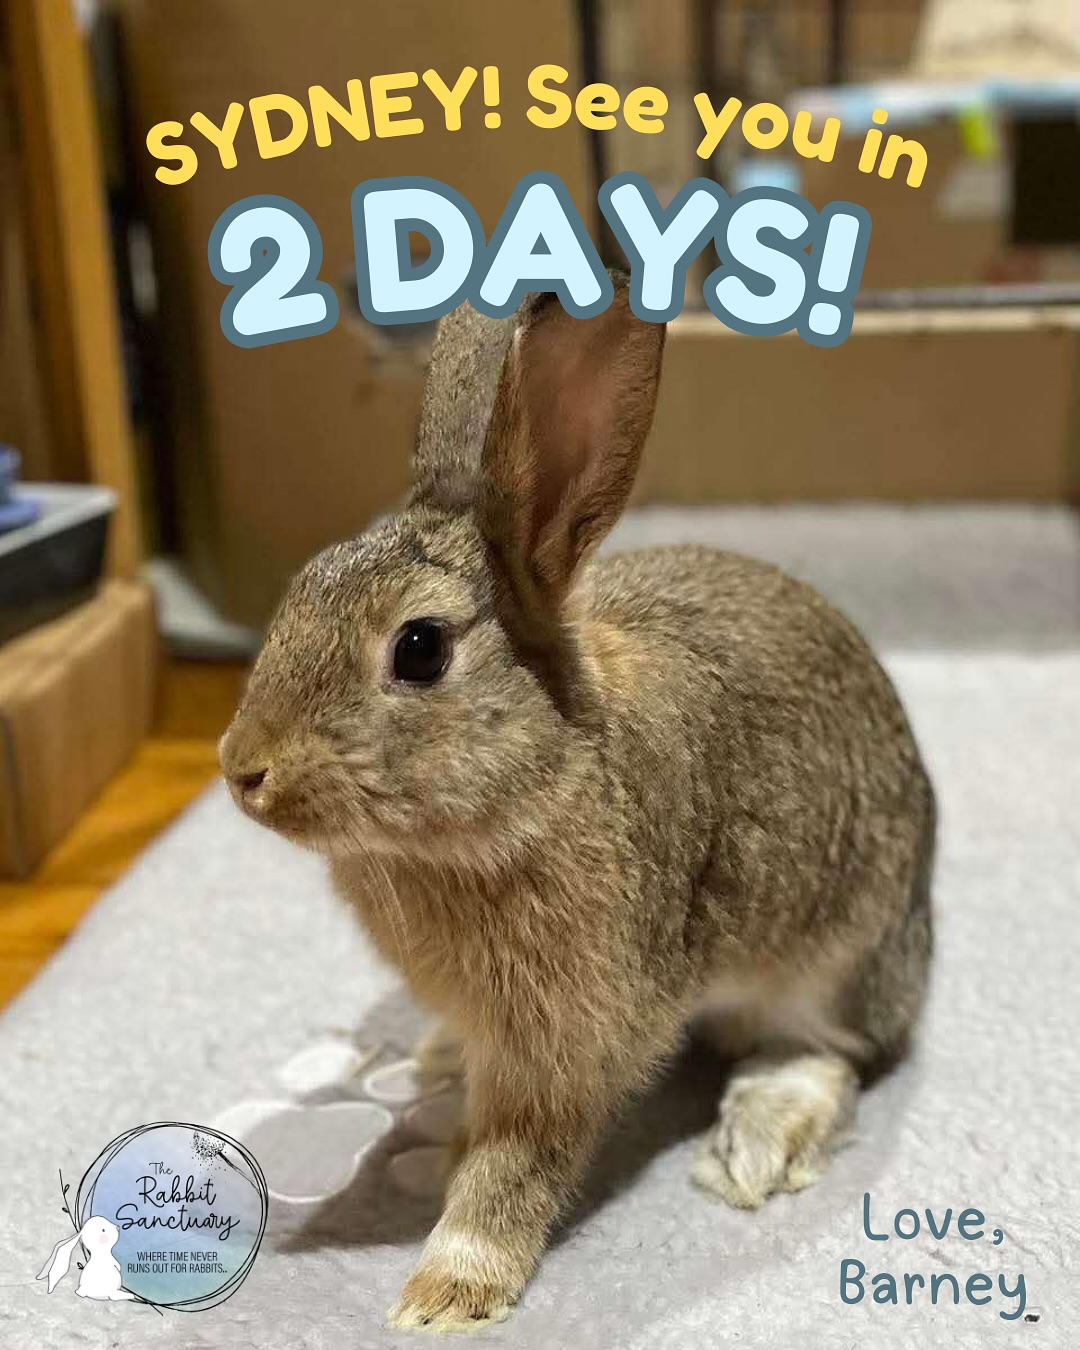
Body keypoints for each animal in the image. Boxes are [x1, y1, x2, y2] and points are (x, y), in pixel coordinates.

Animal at [219, 275, 935, 1331]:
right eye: (300, 589)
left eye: (420, 649)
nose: (242, 769)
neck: (542, 784)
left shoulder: (573, 1043)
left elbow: (517, 1164)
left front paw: (446, 1291)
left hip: (831, 958)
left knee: (826, 1052)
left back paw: (756, 1142)